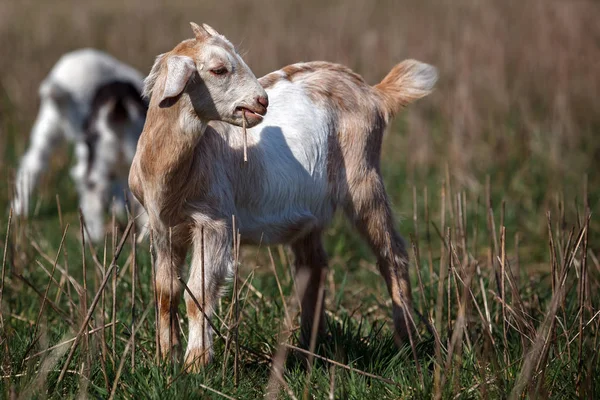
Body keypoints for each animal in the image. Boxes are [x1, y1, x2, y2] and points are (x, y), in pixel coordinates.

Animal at [131, 22, 438, 372]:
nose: (262, 102)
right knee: (314, 266)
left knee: (392, 254)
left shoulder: (214, 223)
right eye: (219, 70)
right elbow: (164, 292)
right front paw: (164, 361)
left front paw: (195, 365)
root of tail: (373, 92)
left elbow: (198, 293)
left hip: (364, 176)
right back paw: (310, 348)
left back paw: (407, 343)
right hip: (310, 213)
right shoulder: (163, 228)